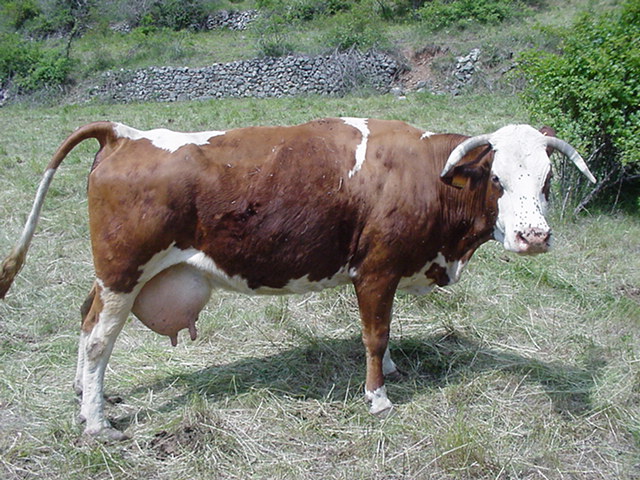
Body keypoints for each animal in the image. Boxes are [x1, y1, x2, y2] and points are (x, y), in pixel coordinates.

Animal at [0, 117, 595, 440]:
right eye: (496, 178)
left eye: (547, 180)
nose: (534, 236)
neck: (427, 175)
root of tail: (125, 134)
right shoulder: (375, 271)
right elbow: (375, 334)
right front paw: (378, 397)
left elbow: (386, 335)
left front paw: (393, 370)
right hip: (124, 274)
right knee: (98, 340)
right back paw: (97, 422)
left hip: (114, 279)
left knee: (85, 319)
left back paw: (84, 392)